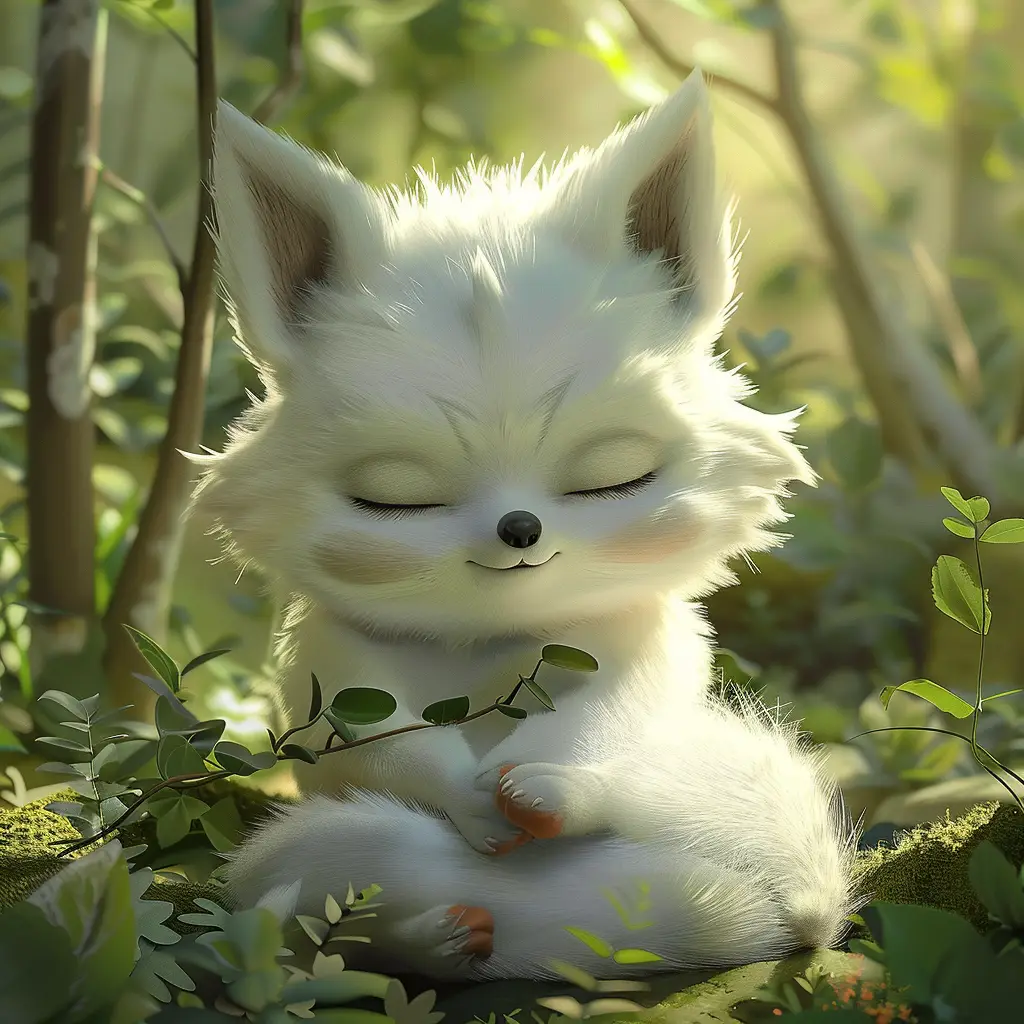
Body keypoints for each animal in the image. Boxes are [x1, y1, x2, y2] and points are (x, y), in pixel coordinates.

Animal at [191, 69, 858, 982]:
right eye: (394, 500)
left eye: (615, 479)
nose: (518, 528)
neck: (492, 638)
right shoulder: (323, 665)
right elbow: (375, 742)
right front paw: (474, 804)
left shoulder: (647, 640)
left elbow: (611, 715)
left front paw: (537, 787)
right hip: (298, 855)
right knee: (317, 872)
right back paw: (444, 935)